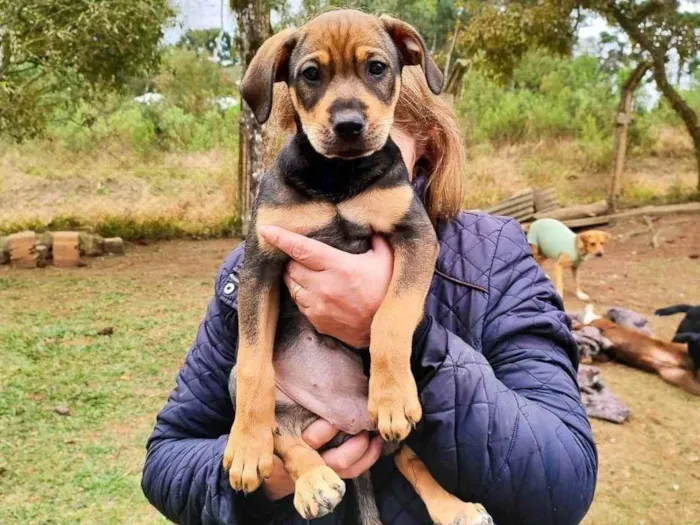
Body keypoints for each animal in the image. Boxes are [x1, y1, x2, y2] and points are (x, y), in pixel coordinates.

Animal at [224, 8, 492, 524]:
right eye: (311, 74)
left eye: (377, 68)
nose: (349, 125)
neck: (336, 176)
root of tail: (344, 421)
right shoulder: (259, 265)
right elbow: (252, 365)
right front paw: (245, 447)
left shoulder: (416, 235)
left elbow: (391, 317)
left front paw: (391, 396)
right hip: (287, 415)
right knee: (289, 442)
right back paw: (313, 483)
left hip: (397, 432)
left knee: (410, 458)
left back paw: (455, 509)